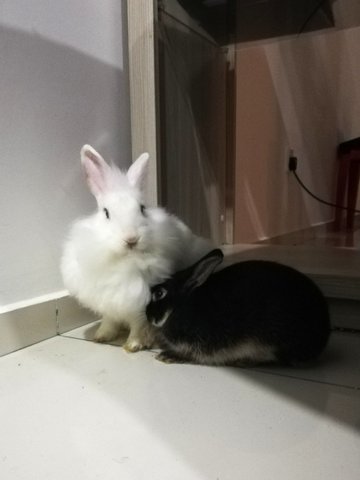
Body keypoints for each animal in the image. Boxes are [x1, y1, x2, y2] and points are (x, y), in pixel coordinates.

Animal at [60, 144, 212, 350]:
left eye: (142, 209)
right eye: (106, 213)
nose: (131, 239)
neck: (124, 262)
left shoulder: (139, 303)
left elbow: (139, 325)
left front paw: (133, 345)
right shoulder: (108, 300)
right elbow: (109, 320)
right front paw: (101, 337)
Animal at [145, 249, 330, 366]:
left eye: (159, 293)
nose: (147, 315)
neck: (179, 307)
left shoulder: (200, 345)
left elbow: (192, 355)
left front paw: (166, 356)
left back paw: (242, 361)